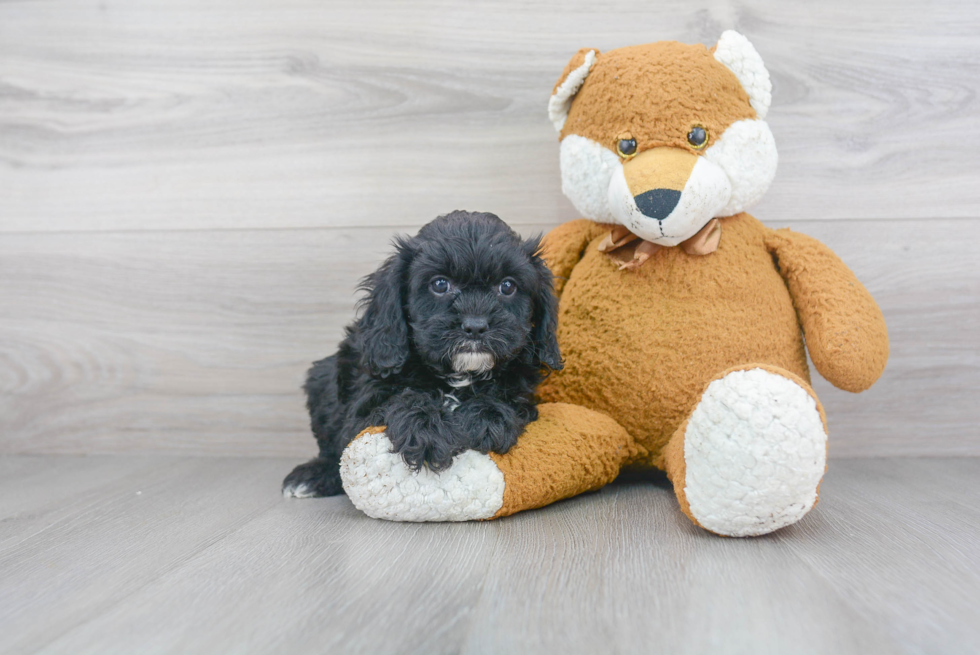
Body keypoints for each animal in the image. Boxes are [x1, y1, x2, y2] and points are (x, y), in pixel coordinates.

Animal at [282, 213, 560, 500]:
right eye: (440, 284)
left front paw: (486, 415)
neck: (458, 375)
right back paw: (313, 476)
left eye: (507, 286)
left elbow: (509, 397)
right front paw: (425, 428)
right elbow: (399, 399)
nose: (475, 326)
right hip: (323, 380)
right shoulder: (364, 404)